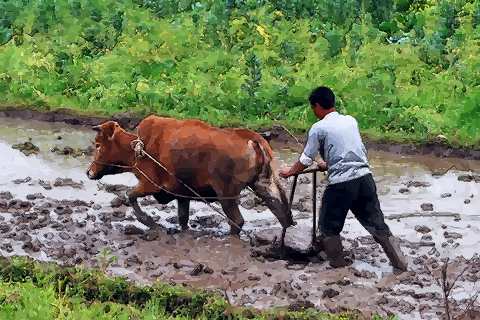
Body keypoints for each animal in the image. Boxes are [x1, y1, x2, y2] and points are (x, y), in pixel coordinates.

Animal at [87, 115, 294, 235]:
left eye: (98, 145)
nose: (89, 172)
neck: (139, 147)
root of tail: (252, 138)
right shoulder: (182, 195)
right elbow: (182, 218)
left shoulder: (151, 184)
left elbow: (130, 195)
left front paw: (148, 221)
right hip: (264, 185)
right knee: (281, 211)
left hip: (226, 194)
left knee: (237, 221)